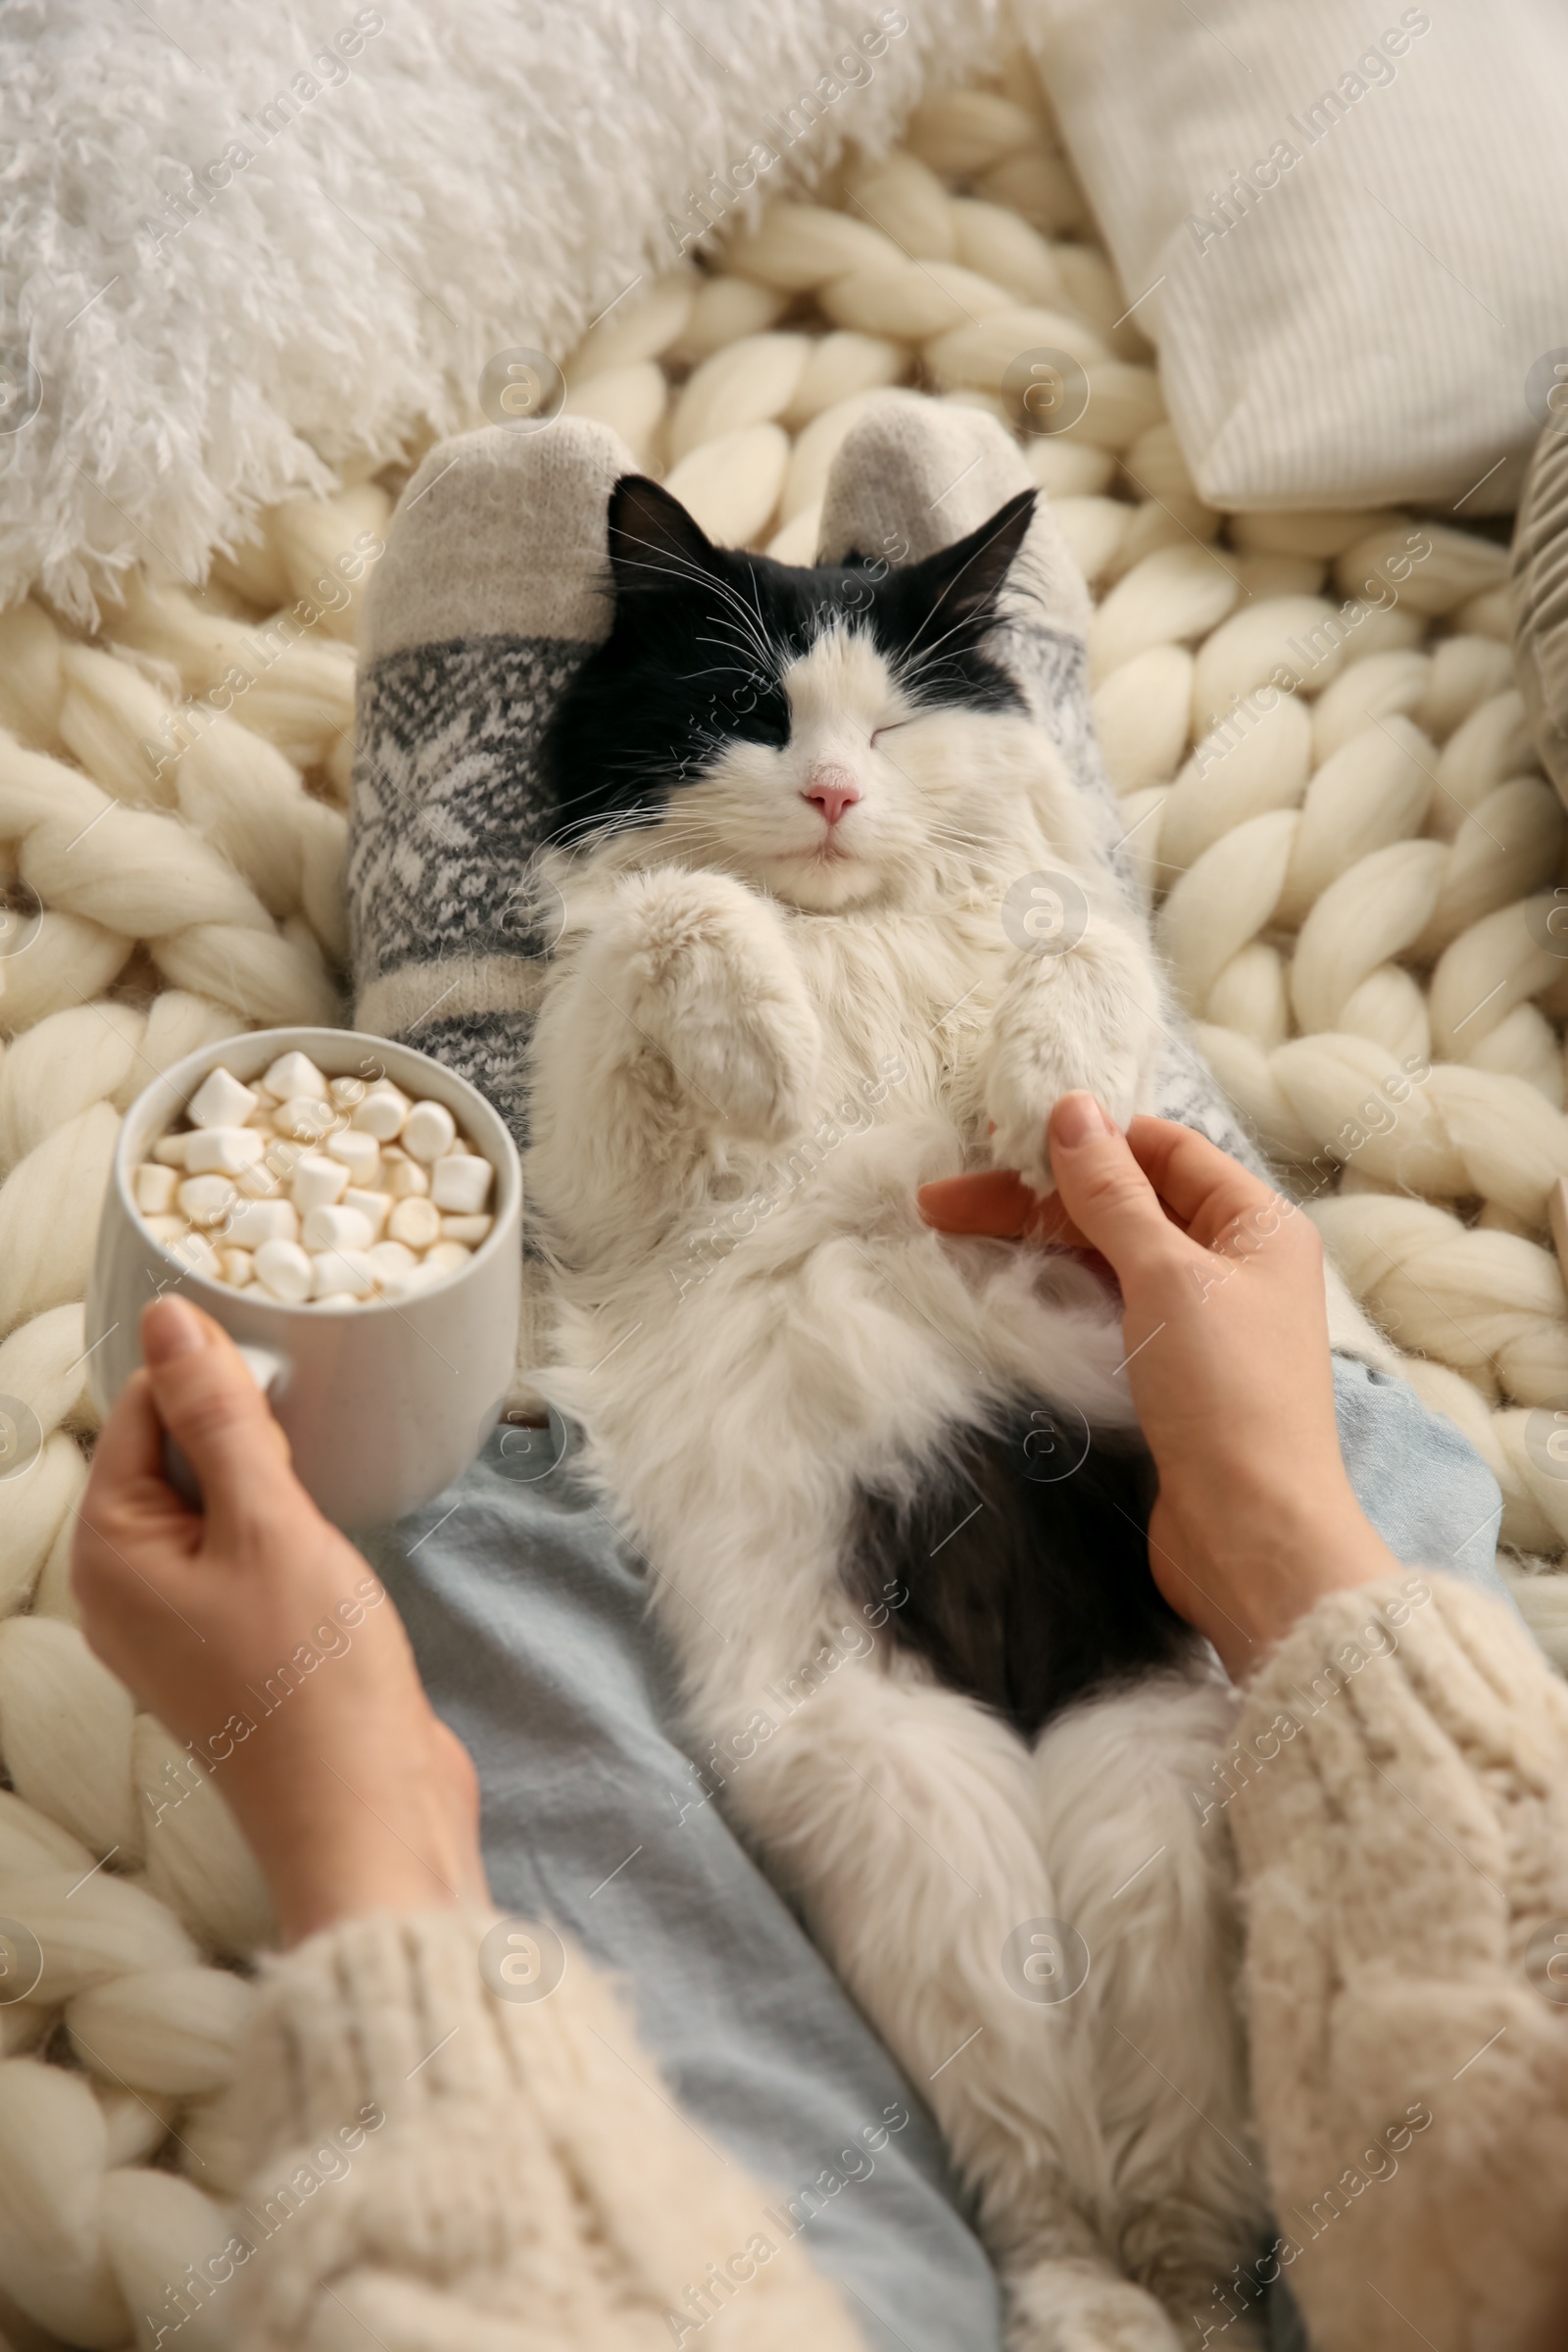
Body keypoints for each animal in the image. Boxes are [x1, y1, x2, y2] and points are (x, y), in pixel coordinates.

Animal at [521, 467, 1269, 2342]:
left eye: (901, 718)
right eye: (750, 710)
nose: (837, 792)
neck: (847, 934)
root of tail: (1018, 1682)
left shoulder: (1094, 1029)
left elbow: (1081, 964)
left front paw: (1035, 1103)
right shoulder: (603, 1176)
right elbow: (679, 910)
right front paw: (772, 1055)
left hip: (1152, 1819)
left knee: (1176, 2191)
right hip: (925, 1821)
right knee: (1043, 2169)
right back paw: (1089, 2305)